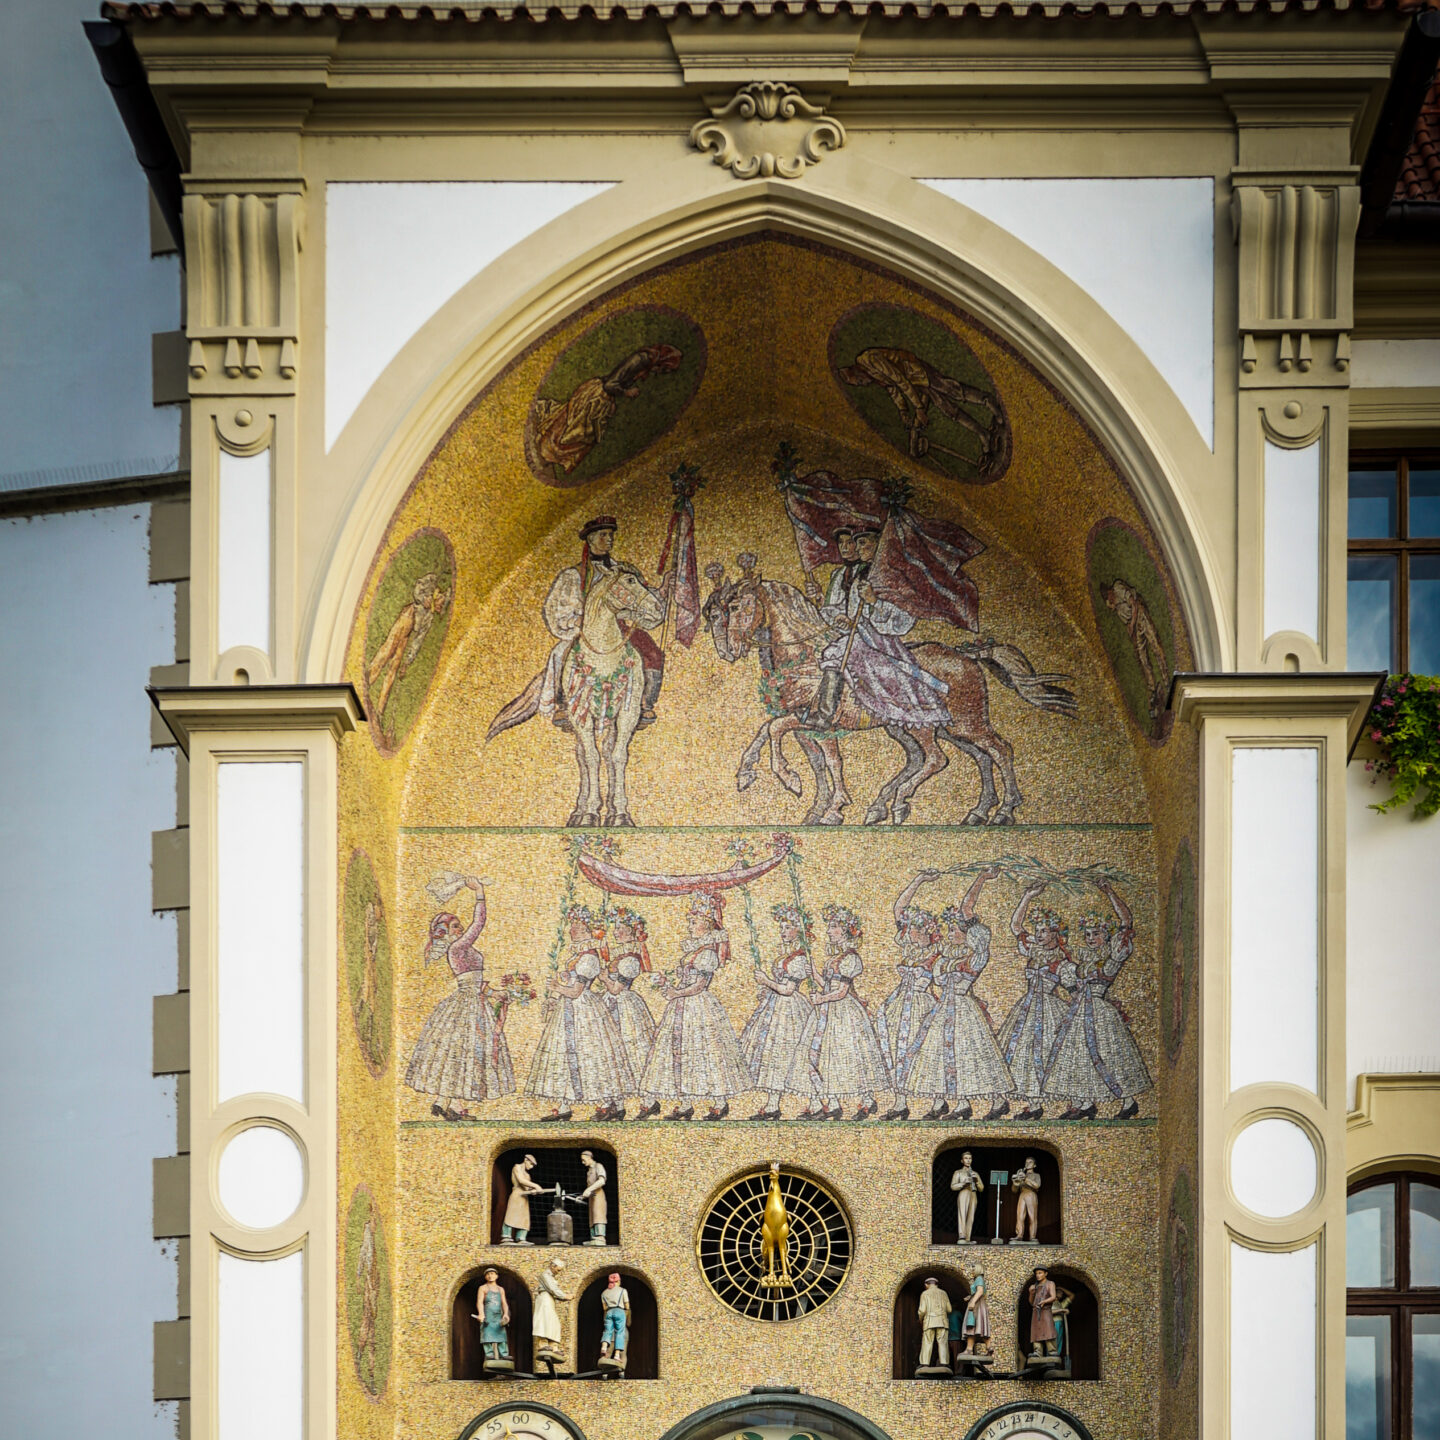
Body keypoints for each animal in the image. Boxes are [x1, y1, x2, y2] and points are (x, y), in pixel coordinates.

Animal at [702, 567, 1077, 829]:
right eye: (714, 613)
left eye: (736, 605)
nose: (728, 650)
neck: (805, 654)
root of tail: (967, 654)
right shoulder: (810, 727)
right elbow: (800, 750)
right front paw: (807, 802)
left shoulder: (817, 722)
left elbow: (784, 735)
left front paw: (805, 790)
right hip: (939, 727)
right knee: (972, 757)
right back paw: (970, 811)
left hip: (954, 723)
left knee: (975, 753)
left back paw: (996, 810)